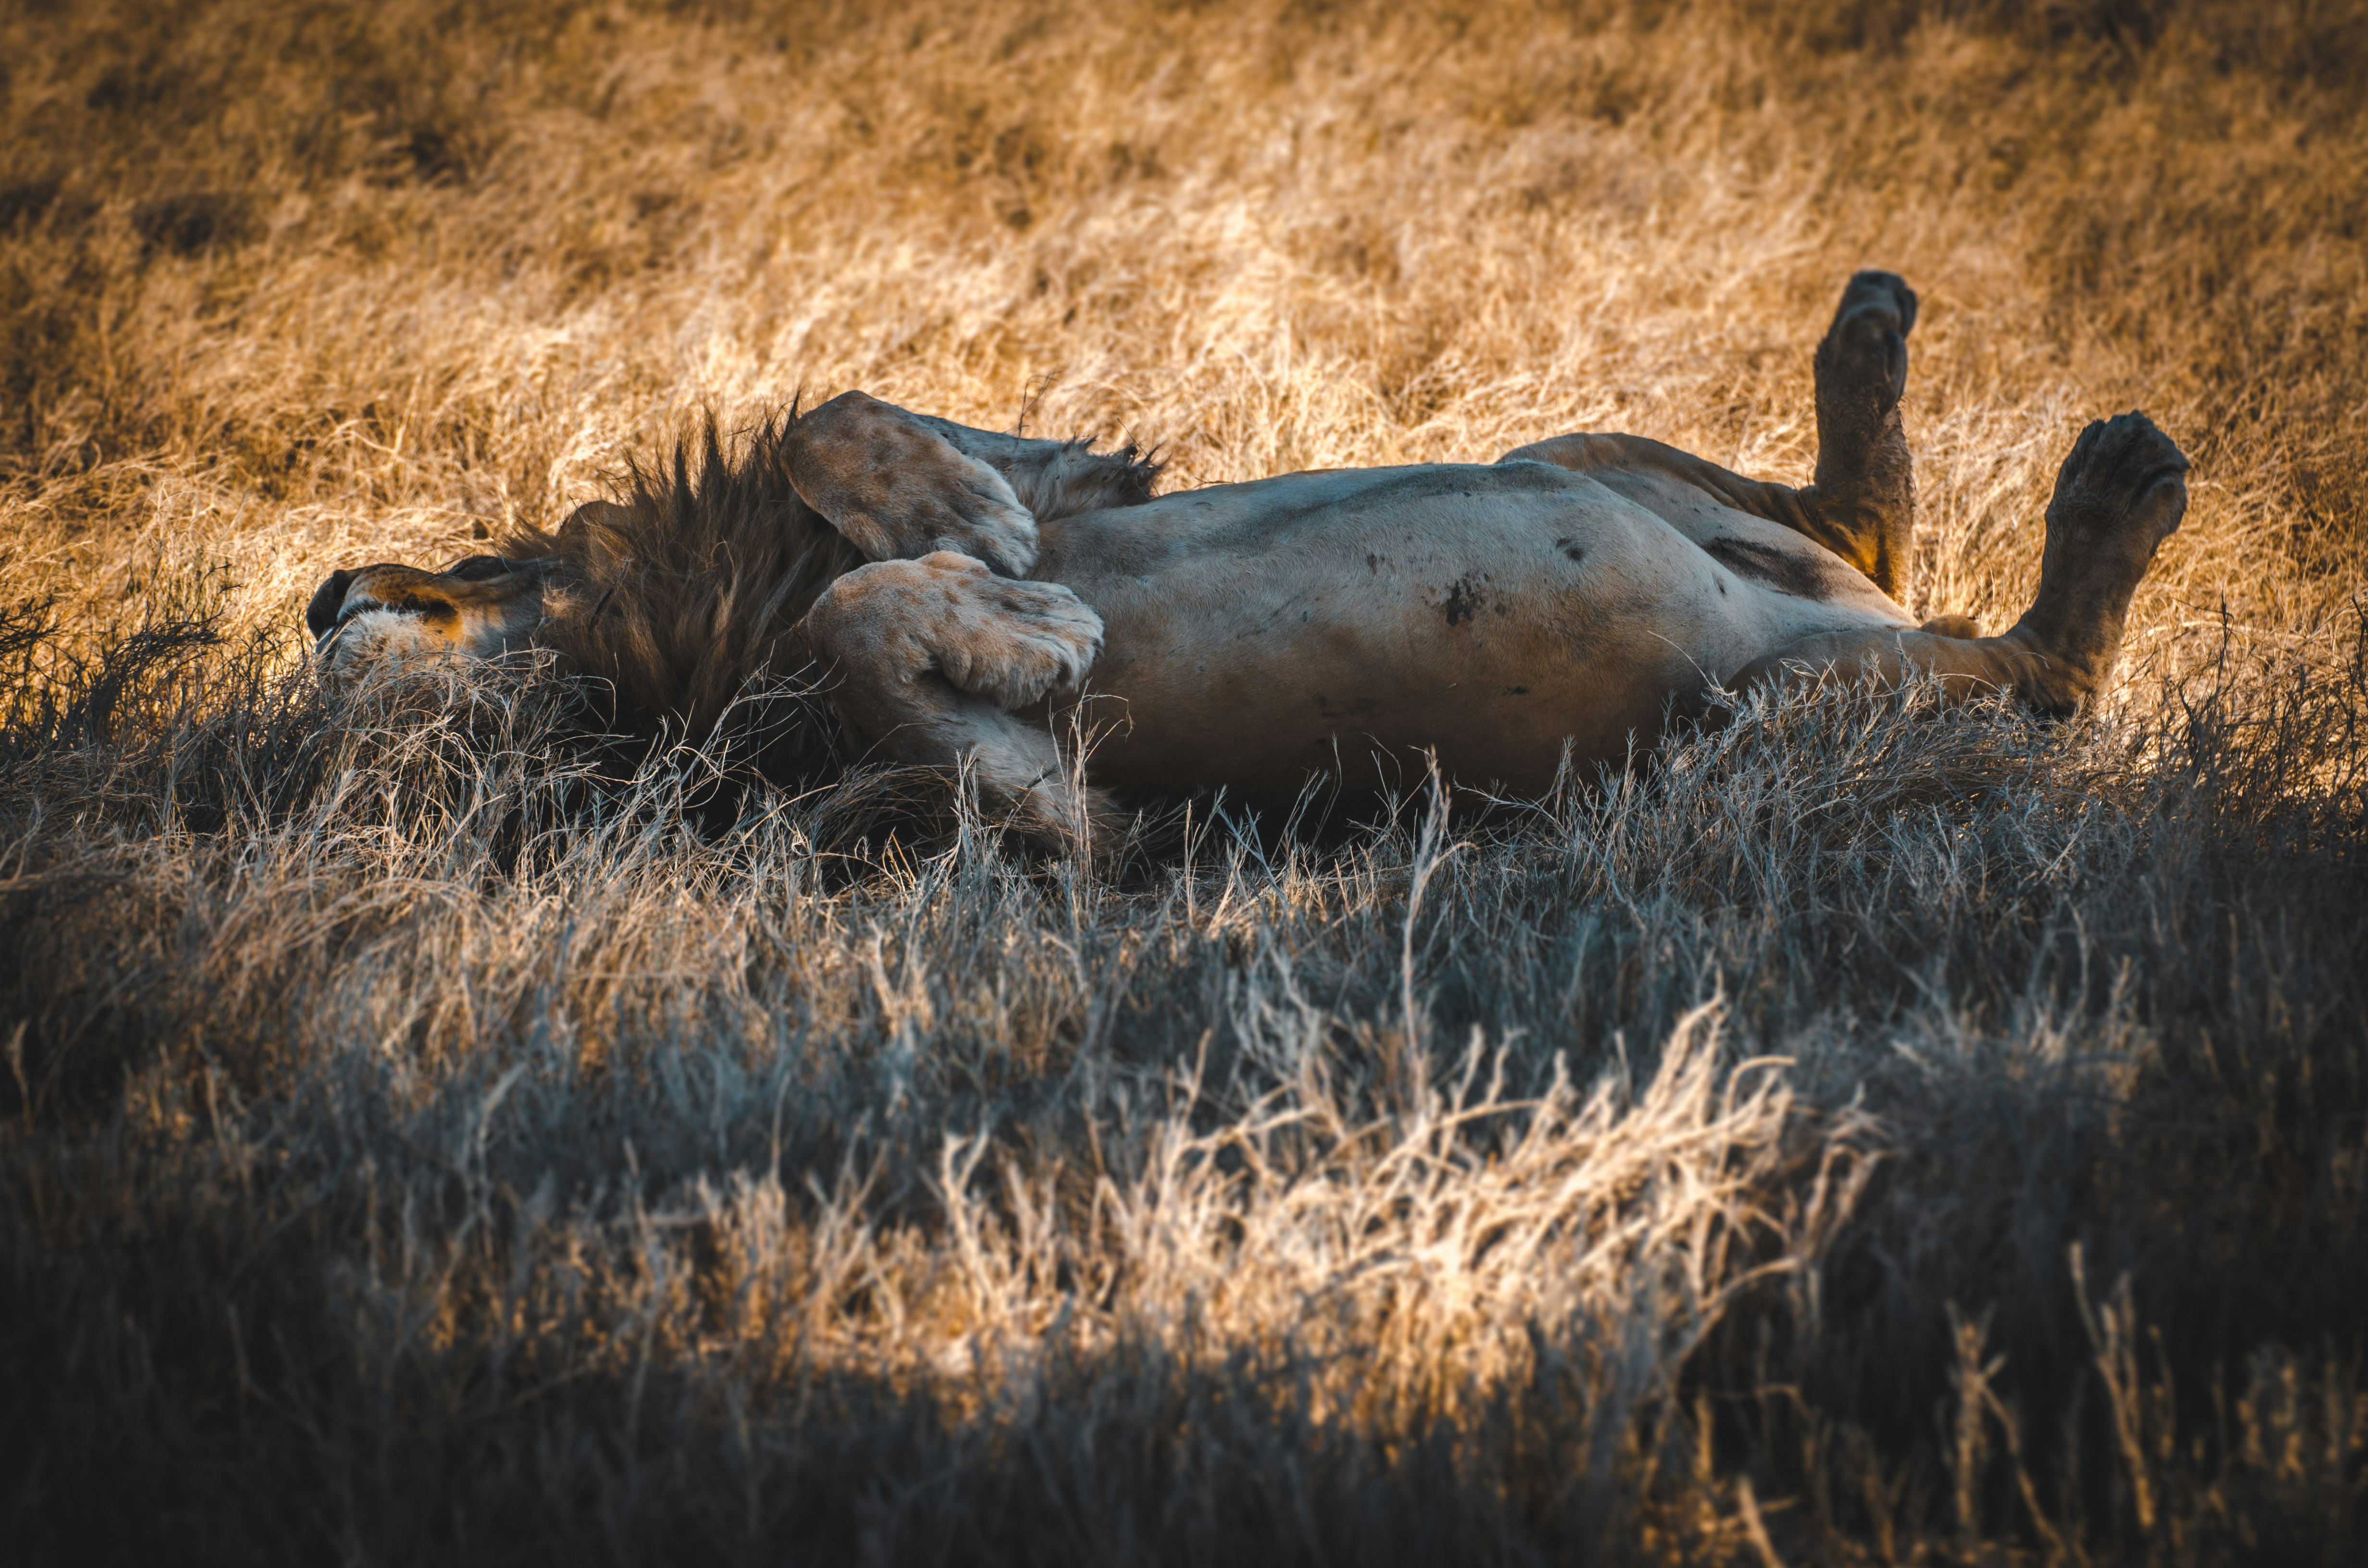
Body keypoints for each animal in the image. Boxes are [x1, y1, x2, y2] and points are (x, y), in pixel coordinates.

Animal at [305, 276, 2188, 852]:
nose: (320, 597)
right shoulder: (1045, 826)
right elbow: (861, 620)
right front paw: (1026, 619)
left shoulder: (1054, 464)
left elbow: (836, 428)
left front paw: (989, 552)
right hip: (1768, 712)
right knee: (2042, 674)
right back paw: (2116, 491)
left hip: (1572, 455)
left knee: (1860, 521)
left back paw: (1884, 338)